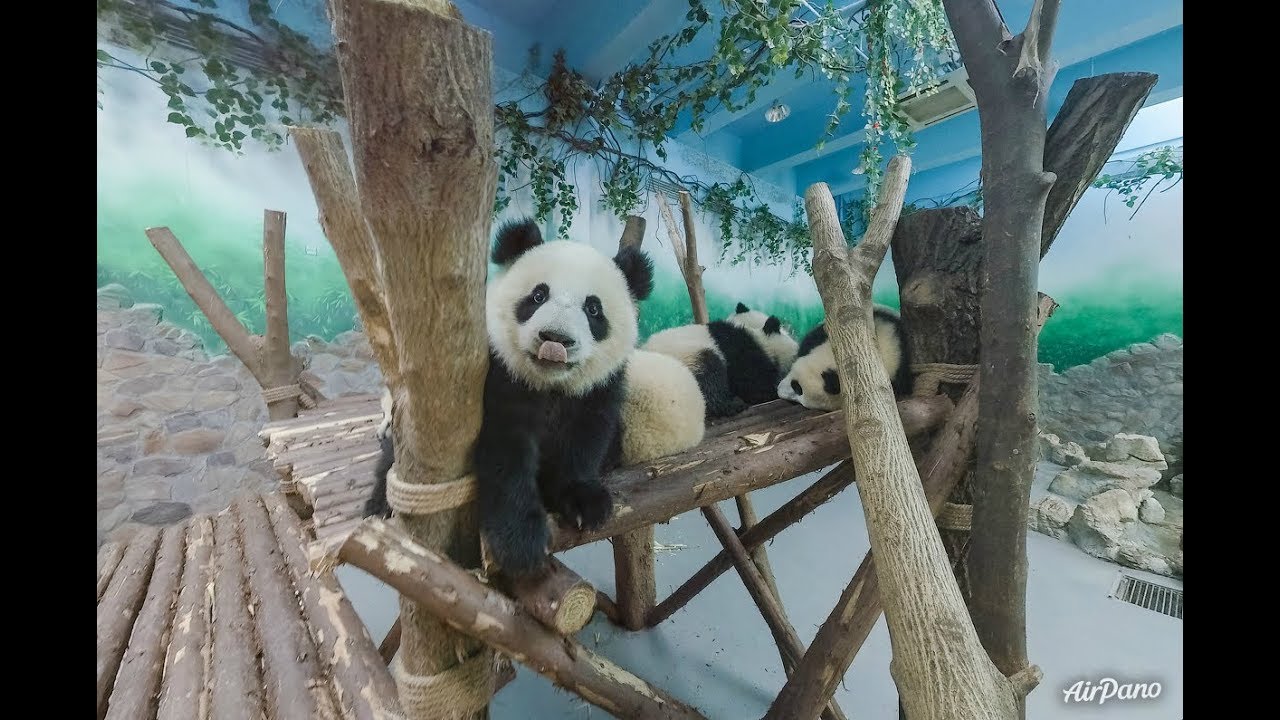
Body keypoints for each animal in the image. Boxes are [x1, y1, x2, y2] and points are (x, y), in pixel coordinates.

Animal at [363, 218, 703, 578]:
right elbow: (505, 454)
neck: (549, 384)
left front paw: (584, 501)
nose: (555, 339)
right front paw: (521, 542)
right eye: (538, 295)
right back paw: (380, 505)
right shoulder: (498, 379)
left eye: (593, 308)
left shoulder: (598, 390)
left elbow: (586, 438)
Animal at [641, 303, 799, 420]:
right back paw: (732, 405)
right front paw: (772, 390)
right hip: (687, 359)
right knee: (710, 375)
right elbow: (752, 383)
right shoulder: (739, 353)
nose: (797, 352)